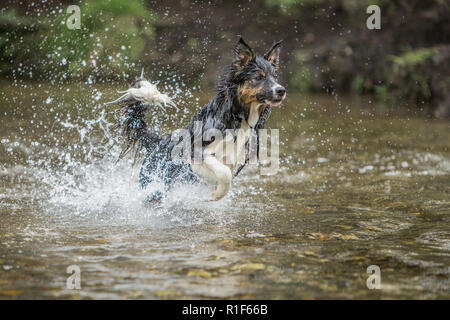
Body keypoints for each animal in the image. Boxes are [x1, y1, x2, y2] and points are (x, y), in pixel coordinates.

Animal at [107, 37, 286, 201]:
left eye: (275, 76)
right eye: (259, 77)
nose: (281, 90)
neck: (238, 117)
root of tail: (157, 142)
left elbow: (226, 173)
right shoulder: (197, 151)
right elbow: (224, 173)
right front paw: (217, 194)